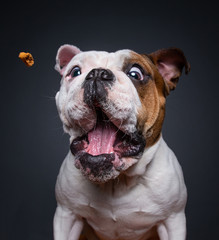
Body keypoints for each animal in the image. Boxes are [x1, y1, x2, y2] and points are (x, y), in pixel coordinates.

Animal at [52, 43, 190, 240]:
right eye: (75, 71)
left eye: (135, 74)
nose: (97, 73)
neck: (117, 181)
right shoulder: (66, 216)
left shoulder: (173, 221)